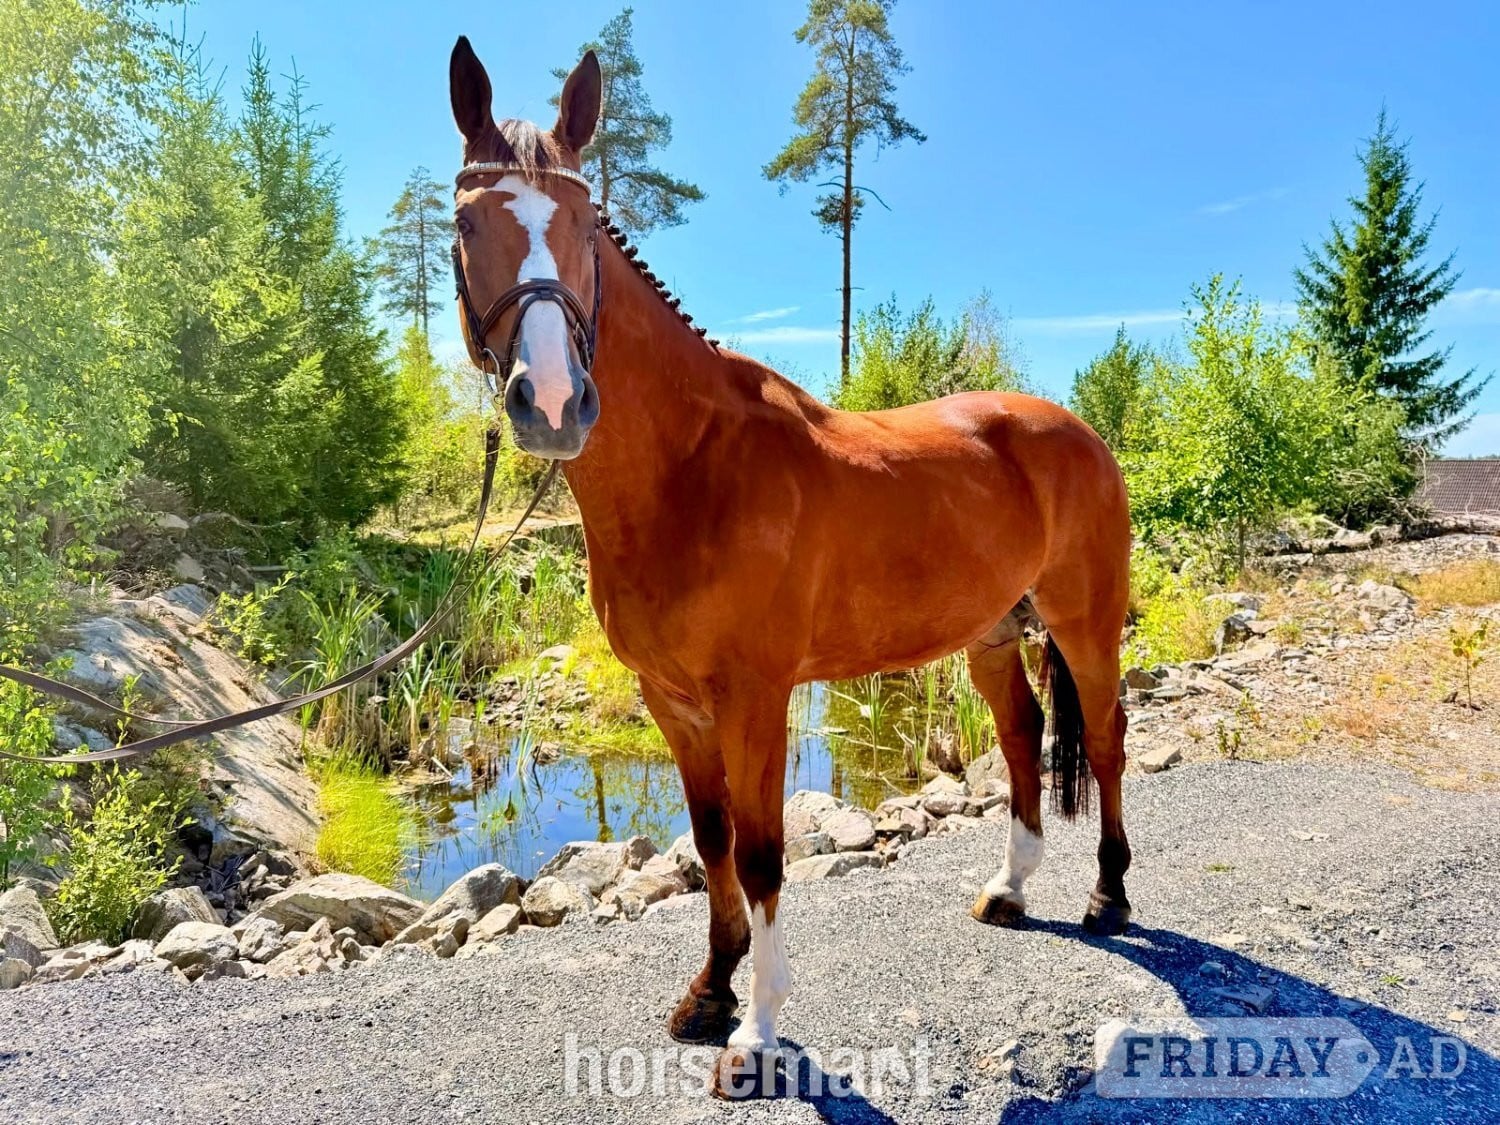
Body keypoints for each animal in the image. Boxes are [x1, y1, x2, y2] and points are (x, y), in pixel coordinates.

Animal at [447, 37, 1135, 1098]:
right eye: (465, 221)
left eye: (582, 226)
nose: (553, 402)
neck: (691, 468)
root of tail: (1079, 431)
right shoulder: (672, 700)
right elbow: (714, 840)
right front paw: (709, 993)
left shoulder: (756, 696)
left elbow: (766, 853)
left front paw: (757, 1033)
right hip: (990, 634)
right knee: (1023, 739)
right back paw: (1010, 890)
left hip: (1084, 620)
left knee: (1102, 739)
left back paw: (1108, 895)